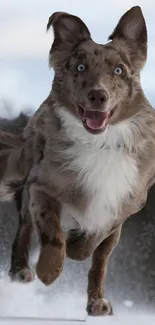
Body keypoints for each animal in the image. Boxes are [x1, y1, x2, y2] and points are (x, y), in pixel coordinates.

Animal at [0, 5, 155, 316]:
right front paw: (48, 271)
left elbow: (94, 246)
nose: (98, 95)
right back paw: (21, 271)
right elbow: (51, 233)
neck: (100, 143)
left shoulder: (124, 205)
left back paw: (97, 302)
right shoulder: (41, 188)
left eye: (119, 70)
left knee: (99, 262)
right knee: (24, 230)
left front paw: (77, 247)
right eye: (80, 68)